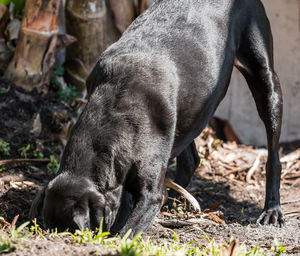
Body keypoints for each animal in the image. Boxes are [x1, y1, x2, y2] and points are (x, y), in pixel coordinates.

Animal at [30, 0, 284, 236]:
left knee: (273, 156)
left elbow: (128, 231)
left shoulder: (150, 194)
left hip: (266, 85)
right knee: (190, 159)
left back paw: (272, 211)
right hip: (189, 110)